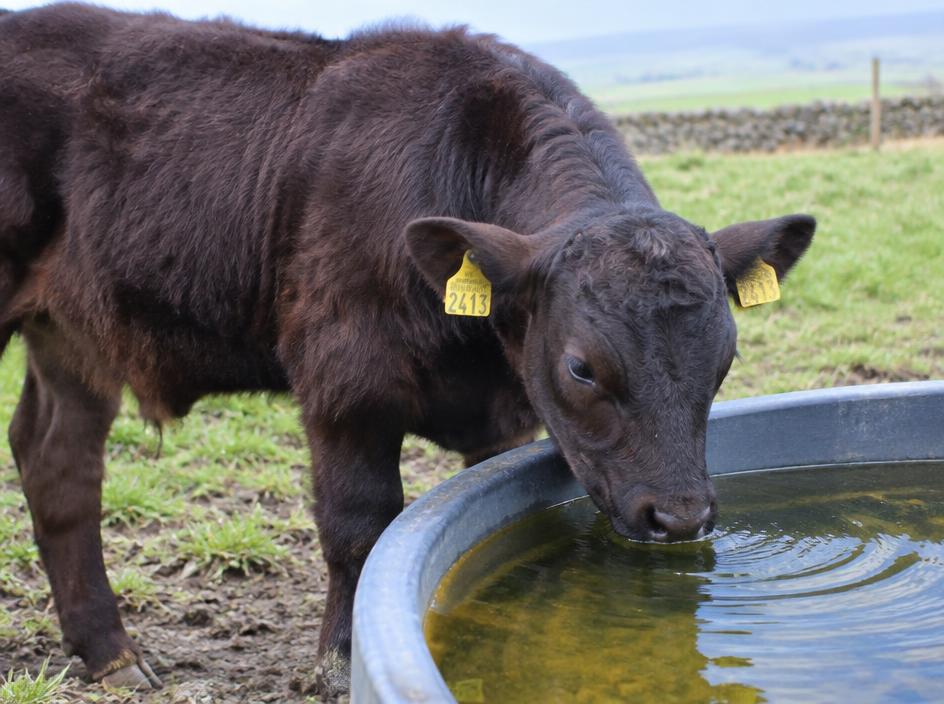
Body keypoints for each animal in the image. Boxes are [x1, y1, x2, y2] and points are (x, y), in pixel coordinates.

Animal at [0, 3, 815, 696]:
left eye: (724, 360)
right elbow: (359, 526)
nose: (679, 518)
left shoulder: (502, 417)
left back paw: (110, 653)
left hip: (72, 334)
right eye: (581, 367)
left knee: (58, 462)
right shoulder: (344, 381)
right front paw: (339, 662)